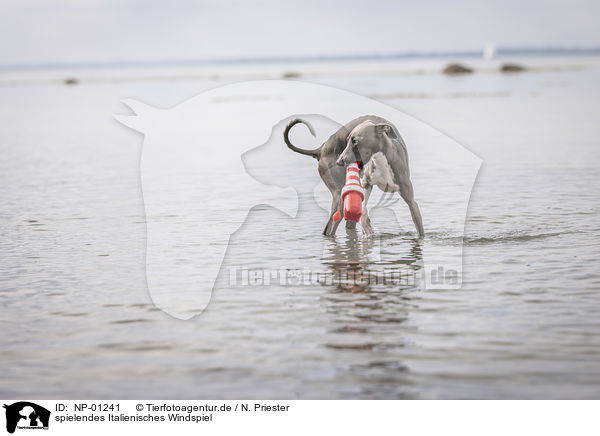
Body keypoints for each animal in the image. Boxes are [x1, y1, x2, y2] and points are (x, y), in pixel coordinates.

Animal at [284, 114, 424, 237]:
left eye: (355, 141)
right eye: (347, 141)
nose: (339, 162)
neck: (381, 160)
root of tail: (321, 149)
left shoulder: (412, 202)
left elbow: (419, 228)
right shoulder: (366, 183)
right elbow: (363, 208)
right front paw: (366, 225)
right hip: (339, 197)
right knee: (330, 226)